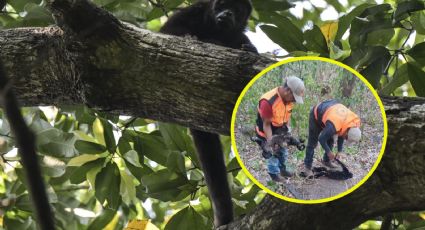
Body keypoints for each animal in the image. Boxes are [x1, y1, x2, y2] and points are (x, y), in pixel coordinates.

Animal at [158, 0, 255, 226]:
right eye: (223, 5)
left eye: (237, 10)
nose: (226, 13)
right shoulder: (193, 10)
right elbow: (167, 31)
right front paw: (198, 39)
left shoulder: (239, 34)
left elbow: (248, 46)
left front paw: (247, 49)